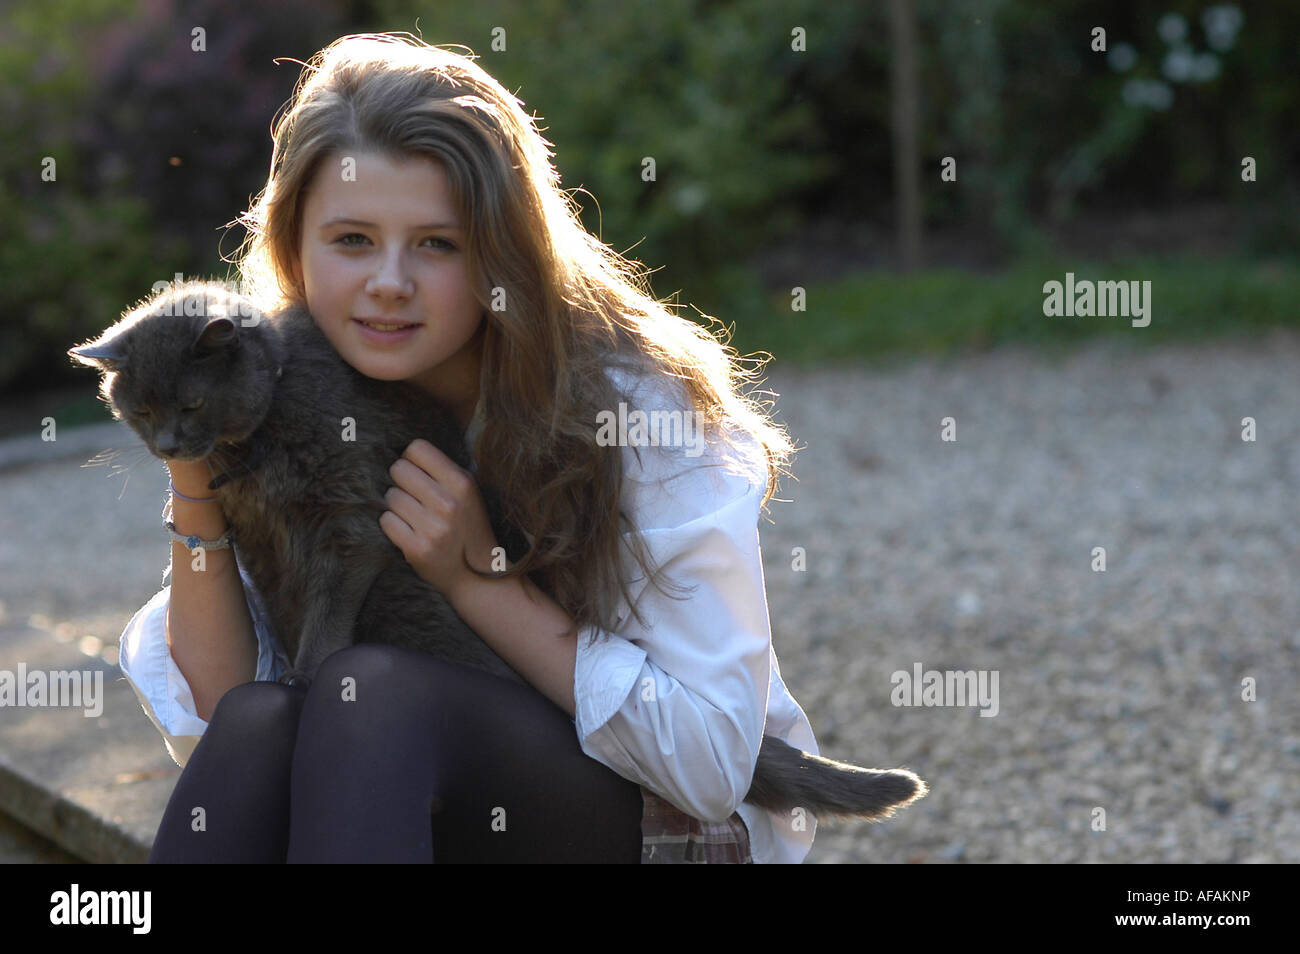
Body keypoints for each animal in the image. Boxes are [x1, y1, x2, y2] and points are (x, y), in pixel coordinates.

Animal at [71, 280, 930, 826]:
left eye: (188, 402)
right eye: (138, 409)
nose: (169, 445)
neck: (259, 436)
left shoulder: (349, 515)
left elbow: (326, 610)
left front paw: (306, 676)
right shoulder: (256, 539)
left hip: (408, 604)